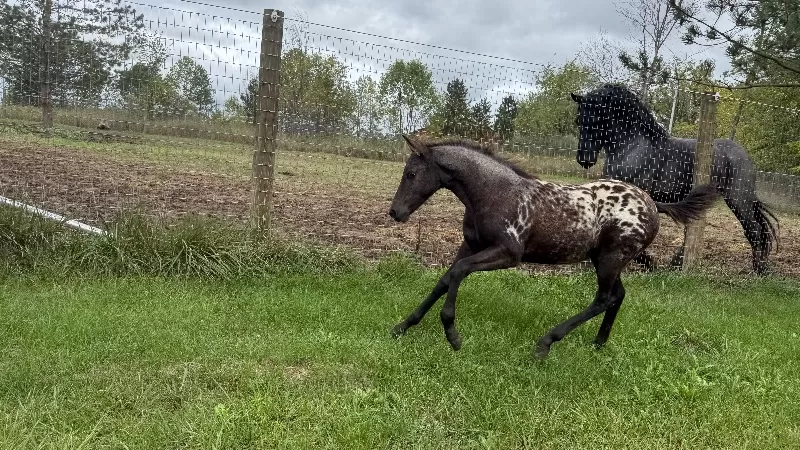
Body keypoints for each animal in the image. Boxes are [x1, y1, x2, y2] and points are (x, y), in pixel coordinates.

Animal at [388, 134, 720, 358]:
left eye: (411, 174)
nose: (395, 212)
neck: (495, 193)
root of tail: (652, 203)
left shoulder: (508, 254)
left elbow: (458, 273)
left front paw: (452, 335)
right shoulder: (469, 246)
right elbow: (445, 279)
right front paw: (403, 326)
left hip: (611, 259)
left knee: (604, 299)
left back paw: (546, 343)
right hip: (606, 260)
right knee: (617, 296)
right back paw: (598, 343)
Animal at [572, 84, 780, 274]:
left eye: (599, 118)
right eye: (579, 120)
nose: (584, 159)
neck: (632, 149)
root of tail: (742, 154)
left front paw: (649, 264)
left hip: (738, 200)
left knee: (753, 230)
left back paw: (760, 270)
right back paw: (677, 264)